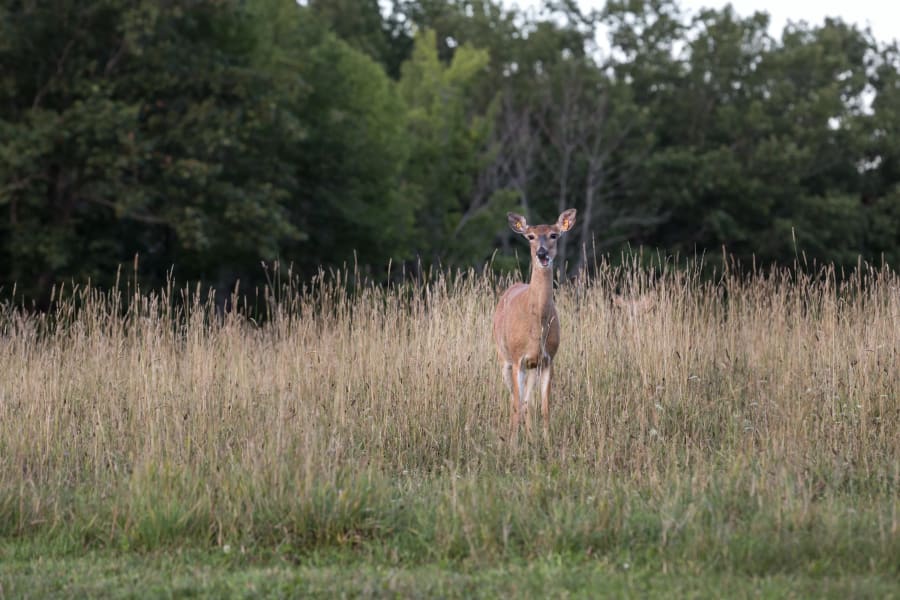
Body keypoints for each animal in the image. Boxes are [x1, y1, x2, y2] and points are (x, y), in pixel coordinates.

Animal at [492, 209, 576, 438]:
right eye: (530, 236)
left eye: (554, 235)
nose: (542, 253)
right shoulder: (517, 359)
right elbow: (516, 404)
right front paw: (513, 443)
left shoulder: (547, 360)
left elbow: (544, 407)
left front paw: (546, 441)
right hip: (503, 358)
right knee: (515, 400)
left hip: (532, 367)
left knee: (527, 401)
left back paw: (530, 436)